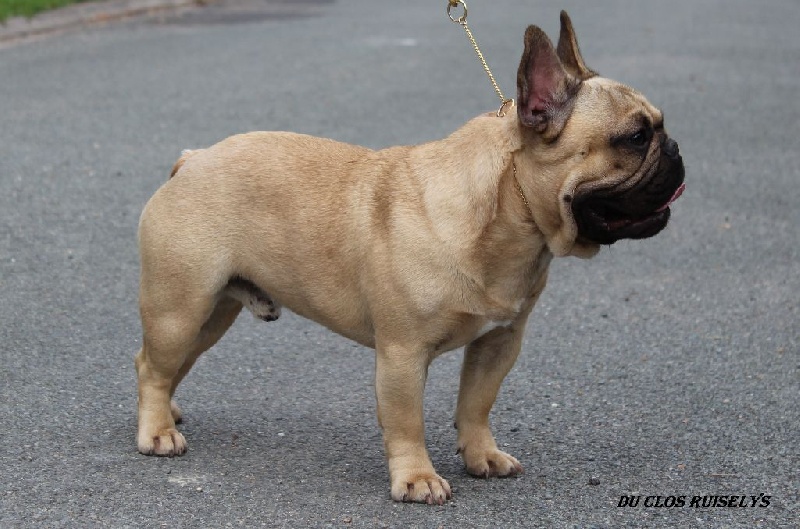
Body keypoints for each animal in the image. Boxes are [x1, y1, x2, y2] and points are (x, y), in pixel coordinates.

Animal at [134, 9, 684, 504]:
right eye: (635, 137)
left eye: (658, 127)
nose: (676, 150)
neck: (503, 214)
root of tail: (193, 160)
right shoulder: (402, 354)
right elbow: (406, 423)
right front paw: (417, 479)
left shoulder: (499, 342)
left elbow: (477, 404)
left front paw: (482, 455)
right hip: (180, 306)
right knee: (151, 364)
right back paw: (156, 431)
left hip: (212, 312)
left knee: (170, 364)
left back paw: (164, 413)